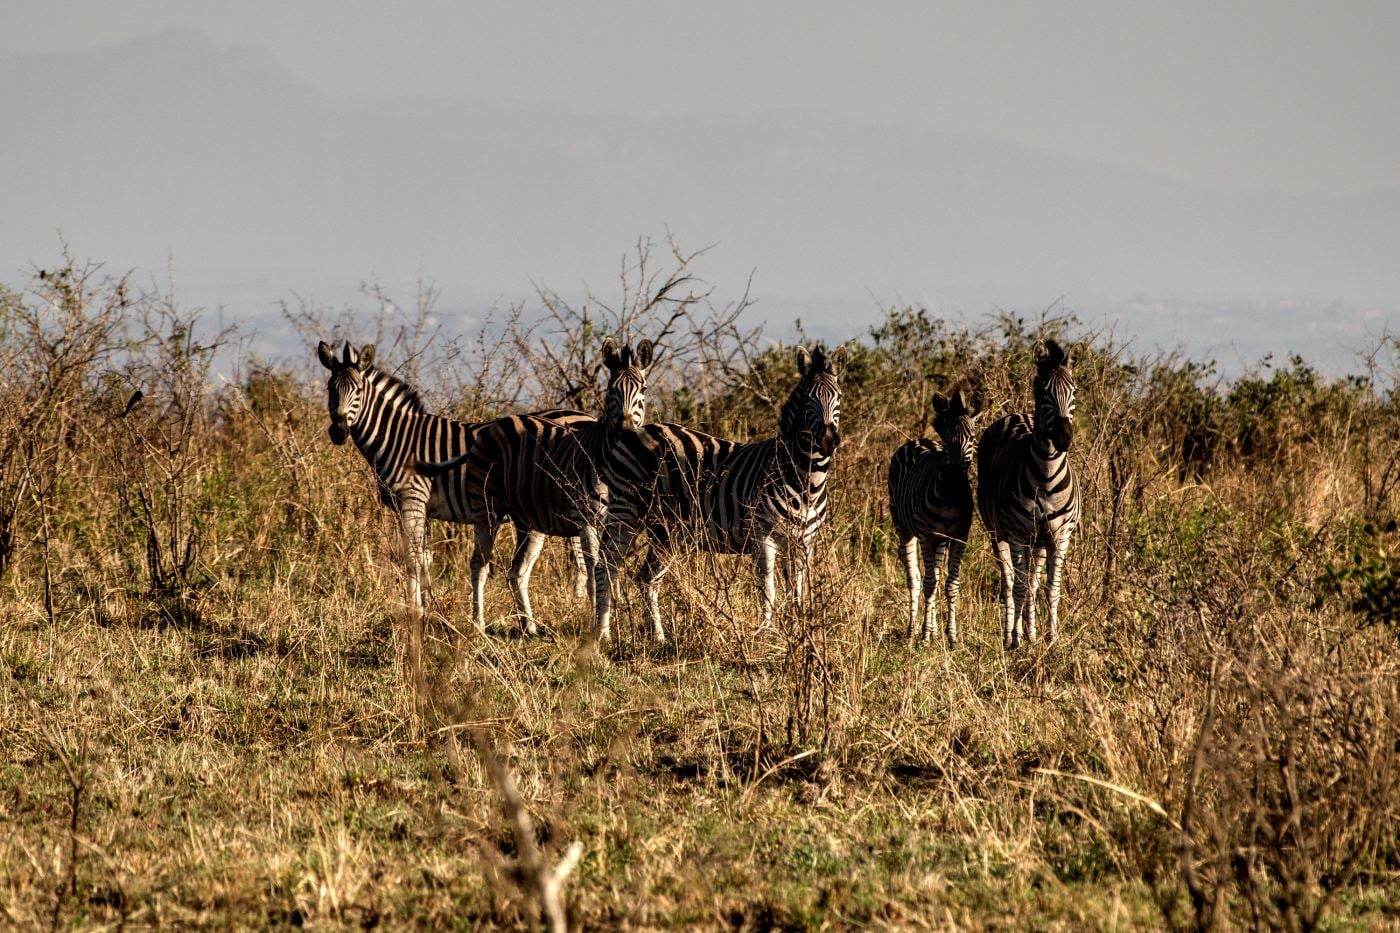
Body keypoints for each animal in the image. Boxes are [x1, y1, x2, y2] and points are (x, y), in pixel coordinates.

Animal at [317, 340, 591, 630]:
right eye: (330, 389)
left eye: (358, 391)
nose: (338, 432)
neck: (397, 438)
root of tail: (587, 416)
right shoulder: (420, 510)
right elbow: (424, 559)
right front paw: (427, 609)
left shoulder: (412, 501)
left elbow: (412, 559)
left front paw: (415, 611)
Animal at [415, 338, 654, 636]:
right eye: (611, 390)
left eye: (643, 389)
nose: (625, 429)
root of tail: (493, 425)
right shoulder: (586, 519)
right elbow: (593, 574)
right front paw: (598, 629)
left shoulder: (620, 521)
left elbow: (610, 573)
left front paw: (613, 624)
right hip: (487, 509)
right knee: (479, 564)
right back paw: (478, 624)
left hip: (528, 522)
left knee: (517, 571)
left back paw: (528, 626)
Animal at [592, 345, 846, 644]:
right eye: (808, 399)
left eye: (839, 397)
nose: (828, 441)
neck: (806, 478)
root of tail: (634, 430)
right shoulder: (763, 536)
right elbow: (768, 590)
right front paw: (767, 635)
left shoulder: (805, 542)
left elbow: (797, 592)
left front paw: (801, 633)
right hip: (626, 509)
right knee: (605, 566)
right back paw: (602, 635)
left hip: (665, 531)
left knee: (646, 578)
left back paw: (659, 637)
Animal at [887, 385, 977, 646]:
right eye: (947, 440)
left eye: (972, 438)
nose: (958, 476)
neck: (949, 496)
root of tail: (919, 440)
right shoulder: (927, 535)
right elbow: (929, 583)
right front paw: (925, 637)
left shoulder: (959, 537)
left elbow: (950, 585)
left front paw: (951, 637)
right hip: (904, 528)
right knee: (916, 579)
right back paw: (911, 632)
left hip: (941, 540)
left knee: (935, 575)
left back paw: (934, 630)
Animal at [976, 338, 1080, 649]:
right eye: (1044, 393)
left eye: (1074, 391)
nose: (1064, 439)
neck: (1046, 474)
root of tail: (1015, 414)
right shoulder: (1018, 534)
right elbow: (1019, 587)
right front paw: (1016, 640)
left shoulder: (1060, 536)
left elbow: (1050, 589)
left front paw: (1051, 640)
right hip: (996, 533)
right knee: (1010, 581)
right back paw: (1011, 633)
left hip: (1040, 541)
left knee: (1033, 582)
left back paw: (1032, 633)